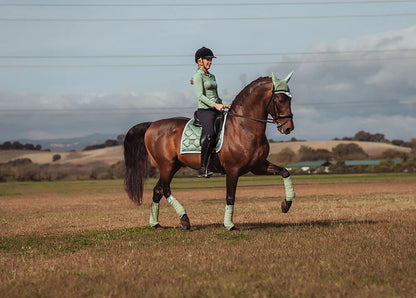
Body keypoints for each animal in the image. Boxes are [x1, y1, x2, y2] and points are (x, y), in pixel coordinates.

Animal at [123, 71, 296, 230]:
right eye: (280, 99)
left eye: (290, 99)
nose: (288, 128)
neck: (243, 127)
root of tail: (152, 125)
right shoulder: (233, 170)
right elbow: (230, 197)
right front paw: (230, 226)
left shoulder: (258, 166)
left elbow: (285, 172)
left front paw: (286, 205)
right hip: (167, 166)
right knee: (165, 190)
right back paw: (184, 220)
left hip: (173, 166)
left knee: (157, 190)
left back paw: (156, 224)